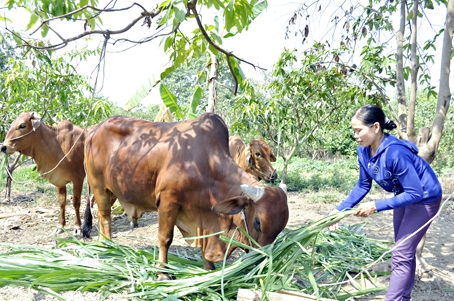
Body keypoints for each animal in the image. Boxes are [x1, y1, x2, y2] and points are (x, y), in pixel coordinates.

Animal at [82, 112, 288, 278]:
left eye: (279, 230)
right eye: (258, 222)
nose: (261, 263)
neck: (206, 165)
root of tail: (93, 130)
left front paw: (209, 269)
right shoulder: (168, 201)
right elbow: (165, 238)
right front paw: (163, 274)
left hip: (113, 191)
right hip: (99, 187)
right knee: (105, 217)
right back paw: (107, 247)